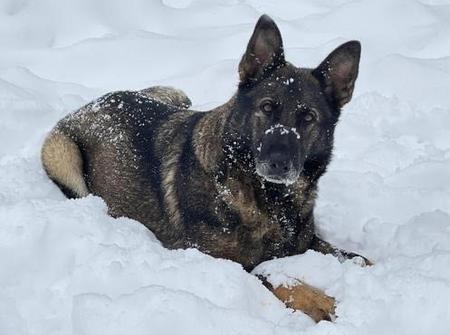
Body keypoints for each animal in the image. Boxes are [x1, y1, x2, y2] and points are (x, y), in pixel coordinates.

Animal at [40, 15, 368, 322]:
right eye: (266, 107)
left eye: (308, 117)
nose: (279, 163)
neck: (268, 198)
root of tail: (96, 101)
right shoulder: (226, 262)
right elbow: (280, 278)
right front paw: (325, 303)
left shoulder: (307, 242)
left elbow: (357, 258)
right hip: (63, 155)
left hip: (178, 95)